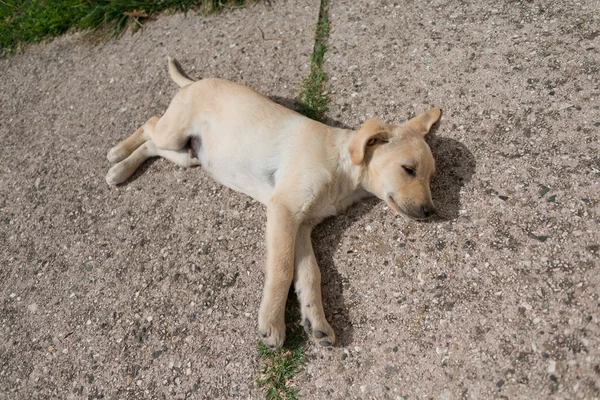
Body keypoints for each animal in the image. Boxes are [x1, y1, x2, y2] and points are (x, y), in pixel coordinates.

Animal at [105, 57, 440, 348]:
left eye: (431, 177)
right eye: (408, 169)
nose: (431, 212)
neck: (342, 166)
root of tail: (195, 82)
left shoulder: (302, 226)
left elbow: (310, 274)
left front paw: (316, 321)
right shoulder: (284, 212)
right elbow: (281, 270)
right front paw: (272, 324)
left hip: (188, 156)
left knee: (151, 145)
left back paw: (121, 169)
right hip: (173, 133)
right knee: (149, 125)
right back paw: (116, 155)